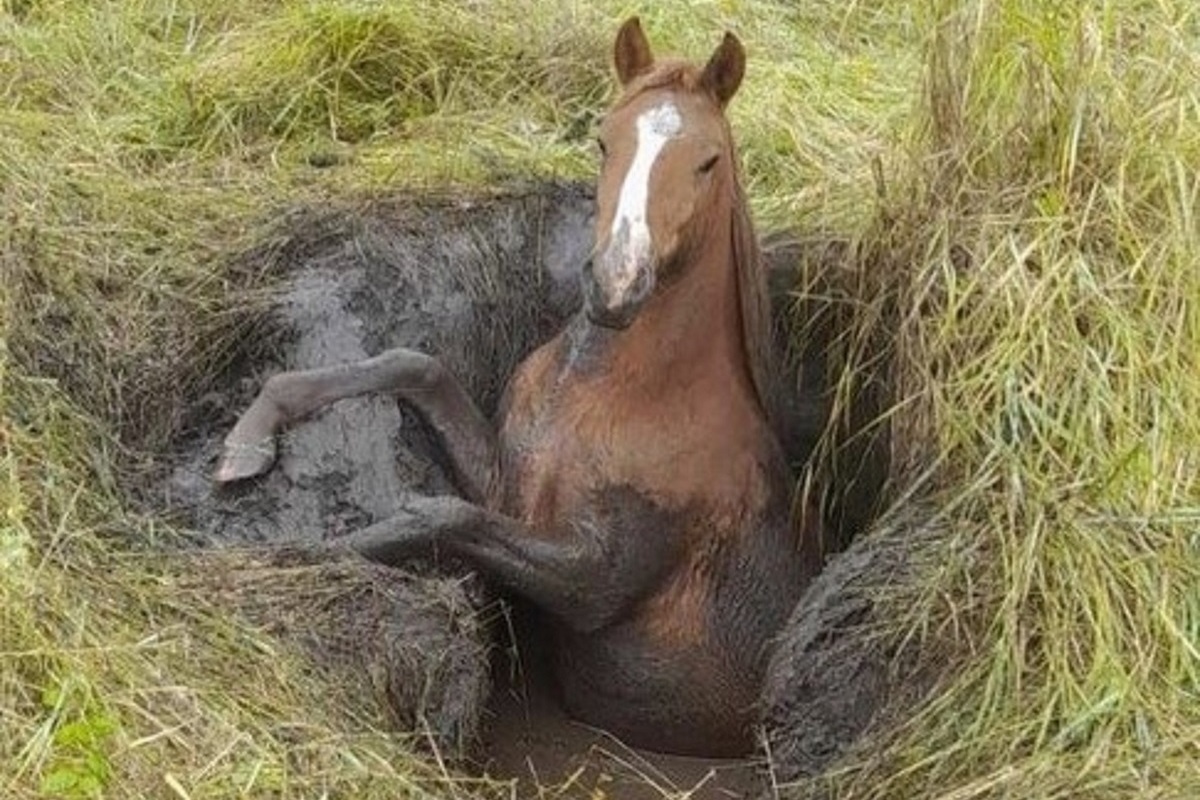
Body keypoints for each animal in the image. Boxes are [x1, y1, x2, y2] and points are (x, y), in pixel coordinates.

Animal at [213, 17, 816, 758]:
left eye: (708, 161)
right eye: (603, 140)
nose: (615, 286)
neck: (618, 396)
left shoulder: (592, 581)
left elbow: (441, 515)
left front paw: (288, 555)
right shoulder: (509, 481)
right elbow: (413, 363)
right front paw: (250, 438)